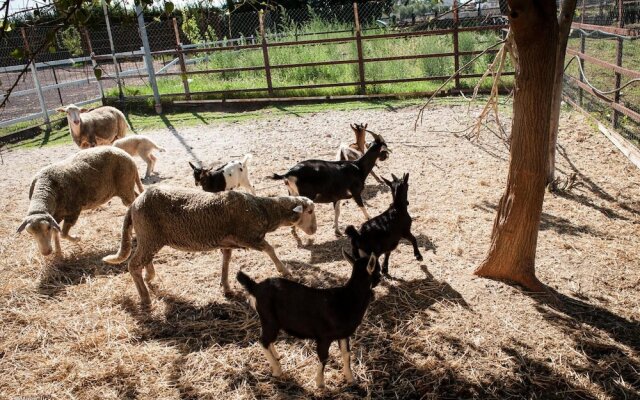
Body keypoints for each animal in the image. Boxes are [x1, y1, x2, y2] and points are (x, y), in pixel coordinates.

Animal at [16, 147, 144, 256]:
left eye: (46, 228)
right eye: (30, 232)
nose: (46, 252)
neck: (45, 188)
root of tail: (127, 155)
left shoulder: (73, 211)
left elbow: (63, 234)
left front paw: (77, 238)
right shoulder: (56, 216)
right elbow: (56, 232)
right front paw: (58, 252)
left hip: (125, 186)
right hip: (126, 187)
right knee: (137, 197)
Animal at [103, 187, 320, 304]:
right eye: (309, 211)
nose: (315, 230)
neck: (265, 210)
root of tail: (134, 204)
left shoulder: (228, 243)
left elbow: (226, 263)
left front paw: (226, 287)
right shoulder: (249, 237)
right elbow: (270, 249)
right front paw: (284, 270)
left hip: (149, 236)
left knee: (144, 260)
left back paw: (150, 276)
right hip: (150, 235)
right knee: (133, 264)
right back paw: (145, 297)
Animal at [238, 252, 380, 390]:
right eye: (378, 270)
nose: (380, 278)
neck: (349, 298)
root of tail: (256, 287)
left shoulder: (344, 334)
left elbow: (346, 354)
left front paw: (351, 379)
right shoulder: (324, 337)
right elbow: (324, 357)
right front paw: (320, 383)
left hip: (271, 322)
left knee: (268, 340)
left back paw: (276, 357)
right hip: (269, 319)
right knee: (262, 341)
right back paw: (277, 370)